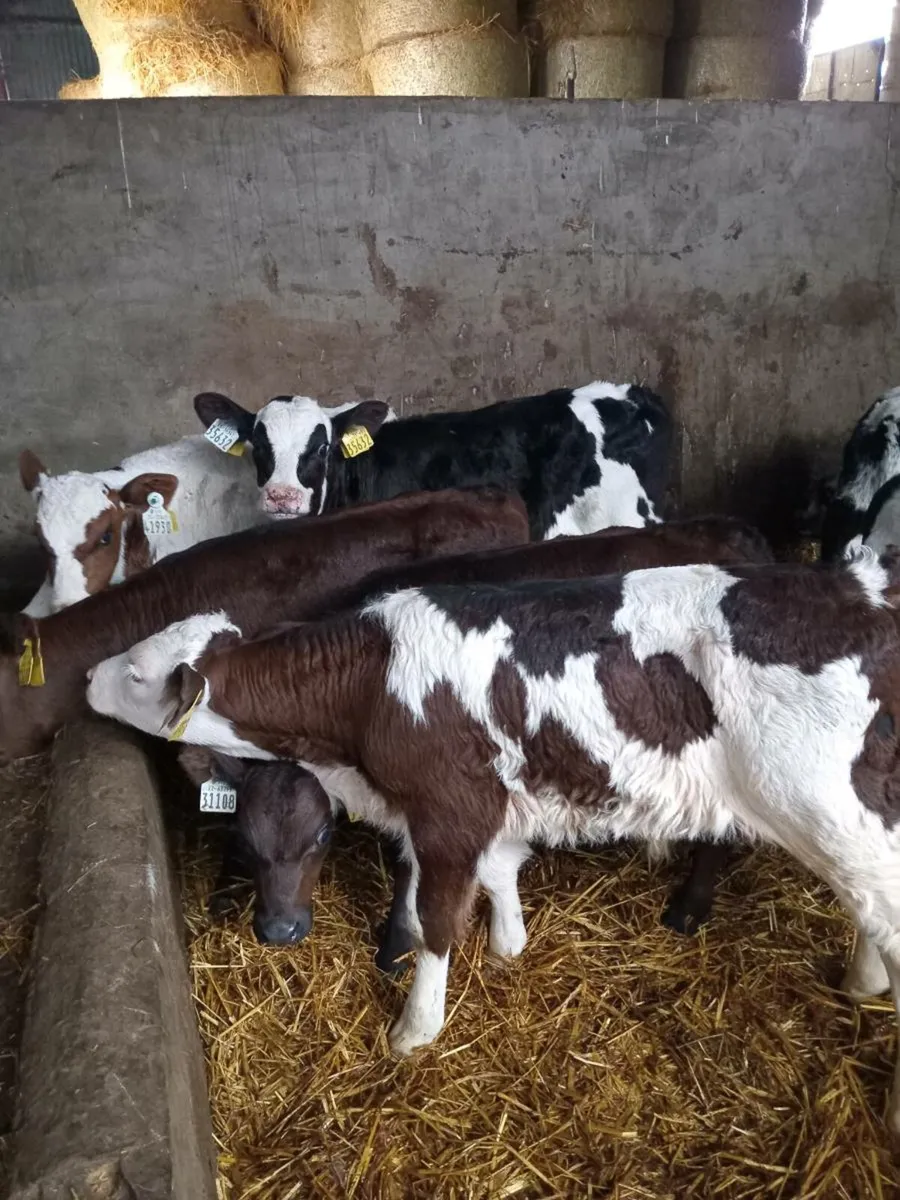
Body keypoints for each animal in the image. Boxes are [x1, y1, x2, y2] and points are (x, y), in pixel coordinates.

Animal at [84, 549, 900, 1134]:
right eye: (247, 847)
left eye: (137, 672)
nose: (88, 676)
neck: (370, 686)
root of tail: (860, 593)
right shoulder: (485, 801)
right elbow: (501, 871)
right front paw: (510, 943)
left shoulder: (448, 806)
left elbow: (437, 919)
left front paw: (415, 1027)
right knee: (870, 902)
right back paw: (863, 980)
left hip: (820, 800)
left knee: (882, 904)